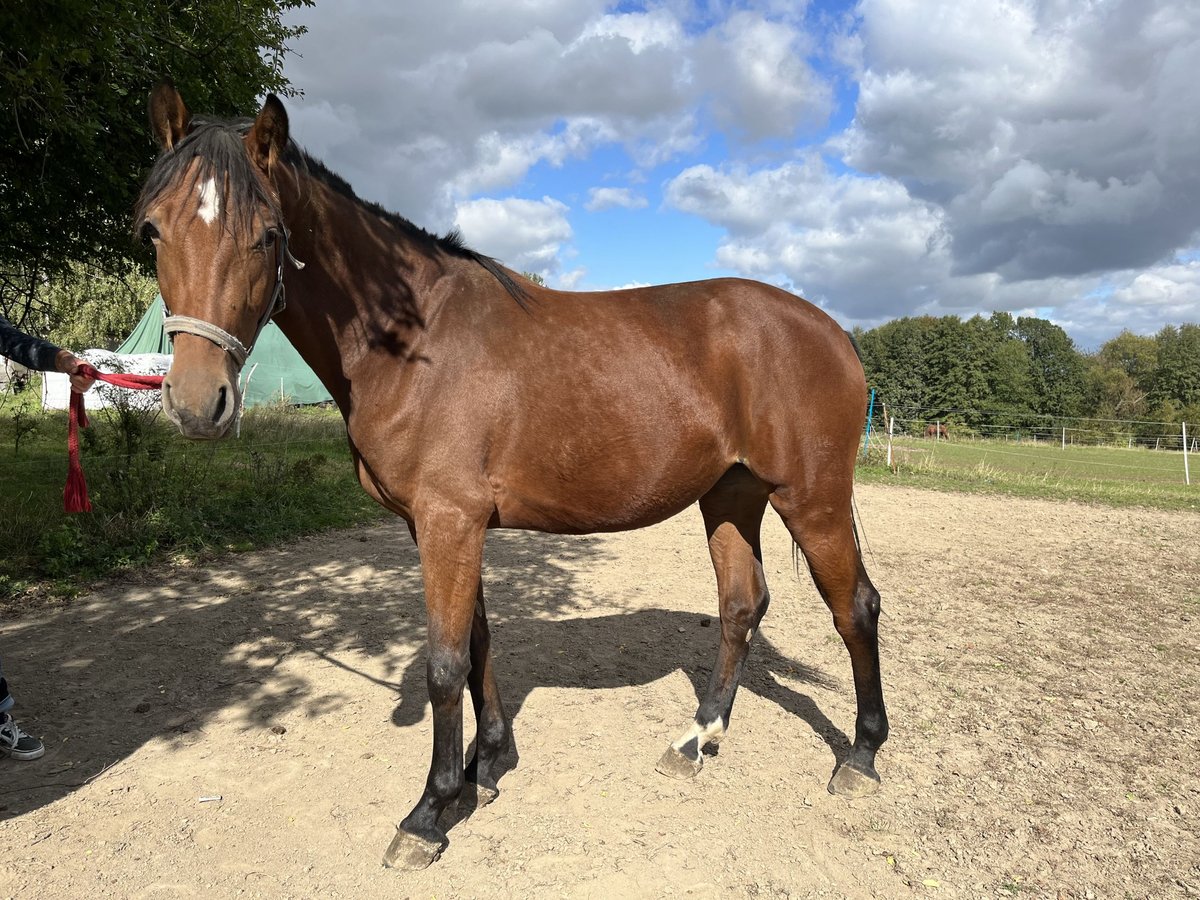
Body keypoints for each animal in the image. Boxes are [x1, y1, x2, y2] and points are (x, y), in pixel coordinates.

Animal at [138, 84, 892, 873]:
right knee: (742, 605)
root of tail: (834, 332)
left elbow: (443, 663)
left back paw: (860, 757)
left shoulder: (449, 520)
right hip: (731, 497)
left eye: (268, 234)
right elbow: (476, 646)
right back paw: (696, 740)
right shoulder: (441, 526)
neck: (417, 342)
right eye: (152, 232)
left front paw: (430, 812)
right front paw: (488, 764)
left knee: (856, 609)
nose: (197, 402)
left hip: (811, 499)